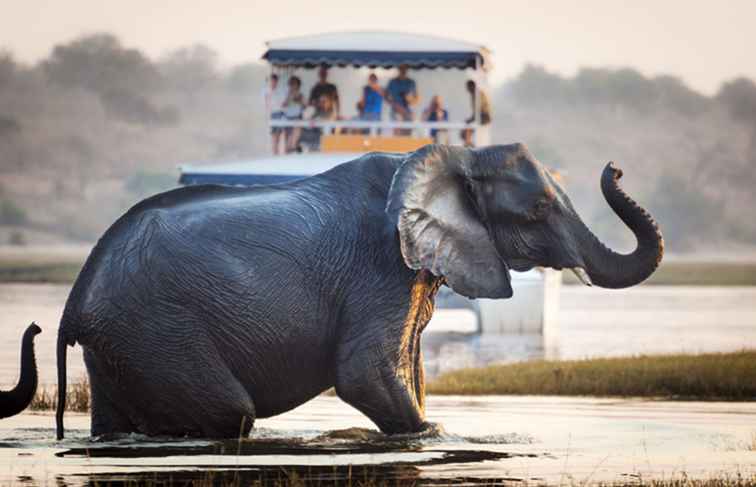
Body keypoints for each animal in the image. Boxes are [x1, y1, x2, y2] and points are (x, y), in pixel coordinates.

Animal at [56, 143, 664, 440]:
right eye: (537, 209)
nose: (615, 167)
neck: (449, 159)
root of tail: (74, 303)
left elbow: (408, 371)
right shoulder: (379, 267)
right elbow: (364, 373)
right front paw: (433, 434)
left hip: (124, 343)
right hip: (158, 330)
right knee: (230, 412)